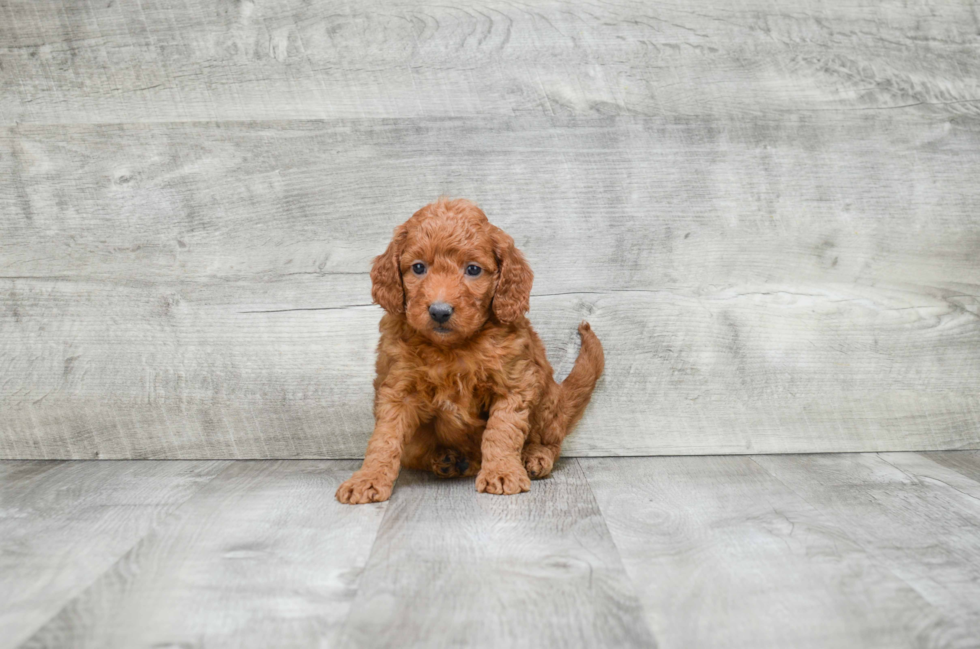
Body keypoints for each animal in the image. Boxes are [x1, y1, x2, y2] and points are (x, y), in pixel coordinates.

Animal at [334, 195, 600, 504]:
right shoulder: (398, 388)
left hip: (547, 400)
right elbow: (384, 439)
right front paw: (368, 478)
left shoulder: (514, 384)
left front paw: (502, 472)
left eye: (473, 269)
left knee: (550, 441)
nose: (439, 311)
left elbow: (502, 432)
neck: (452, 348)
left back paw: (534, 457)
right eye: (418, 268)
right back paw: (449, 459)